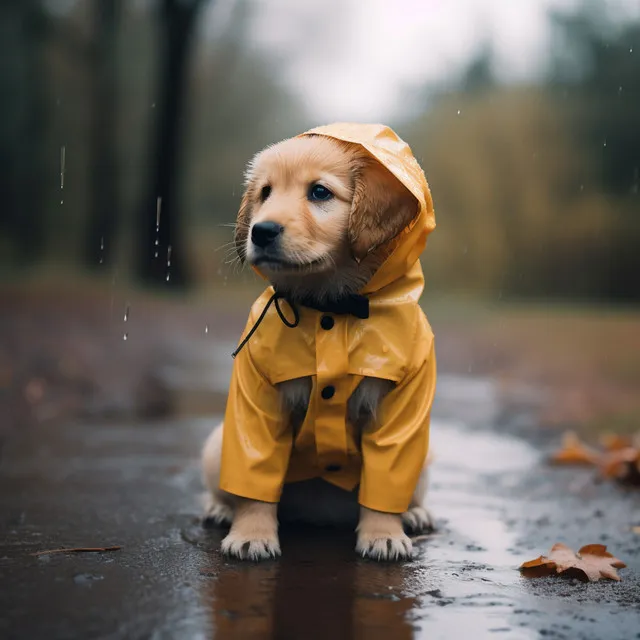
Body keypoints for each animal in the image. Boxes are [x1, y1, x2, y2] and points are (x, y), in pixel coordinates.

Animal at [202, 124, 438, 560]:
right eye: (265, 193)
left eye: (319, 192)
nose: (261, 231)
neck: (330, 307)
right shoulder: (256, 400)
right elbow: (254, 481)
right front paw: (251, 534)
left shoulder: (402, 408)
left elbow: (385, 481)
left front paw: (383, 534)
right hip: (216, 445)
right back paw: (219, 510)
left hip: (425, 456)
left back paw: (415, 515)